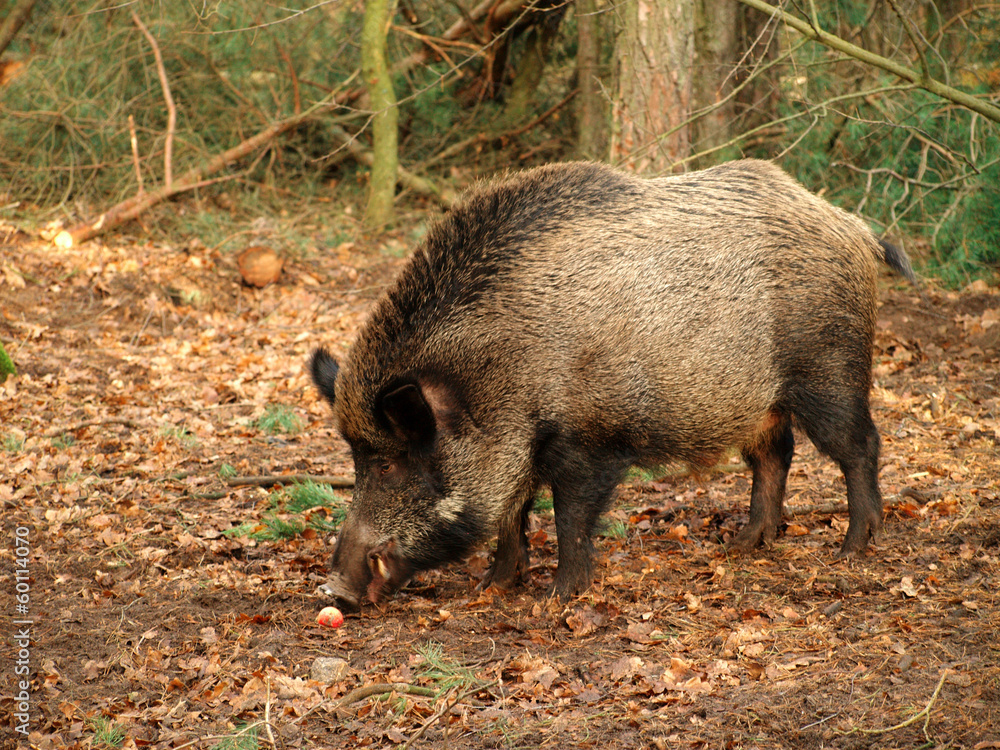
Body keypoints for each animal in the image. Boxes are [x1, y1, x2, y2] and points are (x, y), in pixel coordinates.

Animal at [310, 159, 916, 611]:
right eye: (357, 462)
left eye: (388, 464)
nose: (334, 589)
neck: (496, 366)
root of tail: (854, 226)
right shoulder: (520, 447)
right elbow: (512, 513)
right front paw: (493, 587)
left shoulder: (589, 438)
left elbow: (569, 515)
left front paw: (557, 598)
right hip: (759, 400)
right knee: (776, 454)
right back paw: (743, 546)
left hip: (829, 367)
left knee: (859, 444)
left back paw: (853, 549)